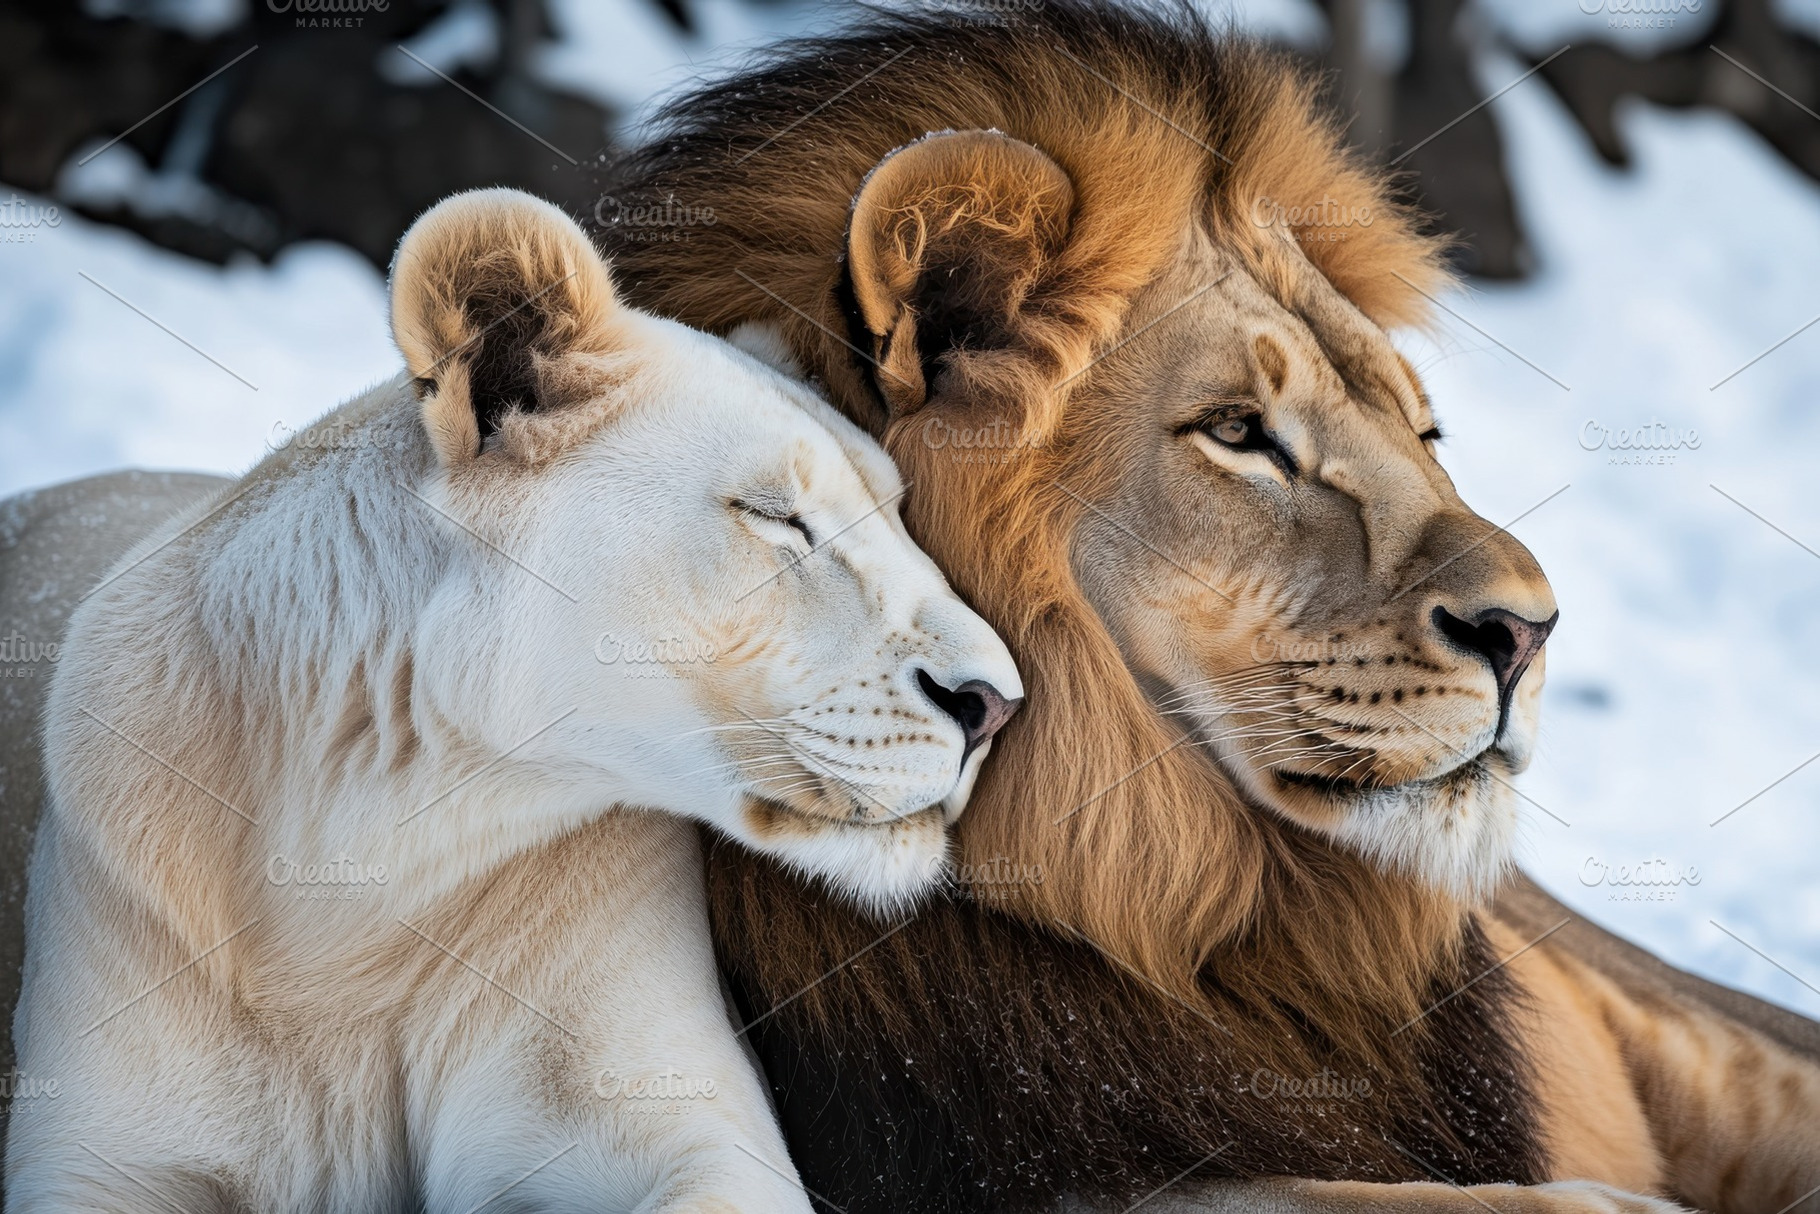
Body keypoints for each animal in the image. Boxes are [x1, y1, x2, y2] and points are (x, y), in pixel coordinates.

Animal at [2, 188, 1023, 1211]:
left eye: (897, 511)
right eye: (775, 516)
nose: (994, 703)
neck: (354, 875)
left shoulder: (665, 1103)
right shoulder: (101, 1144)